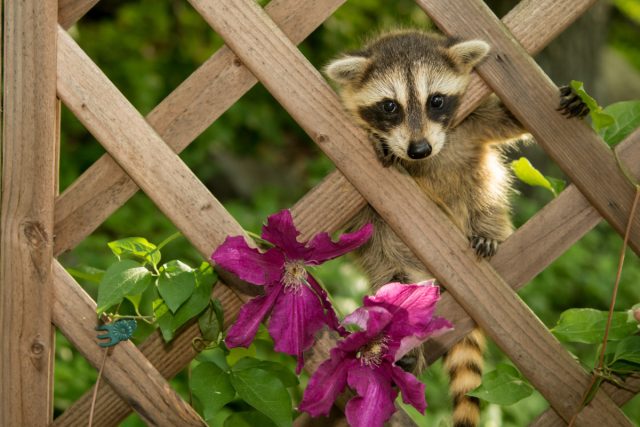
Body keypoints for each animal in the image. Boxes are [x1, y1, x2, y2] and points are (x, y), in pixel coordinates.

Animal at [328, 30, 528, 427]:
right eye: (390, 106)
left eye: (435, 100)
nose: (419, 149)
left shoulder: (471, 123)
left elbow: (502, 120)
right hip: (391, 251)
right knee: (397, 281)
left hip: (482, 197)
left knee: (487, 194)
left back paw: (486, 230)